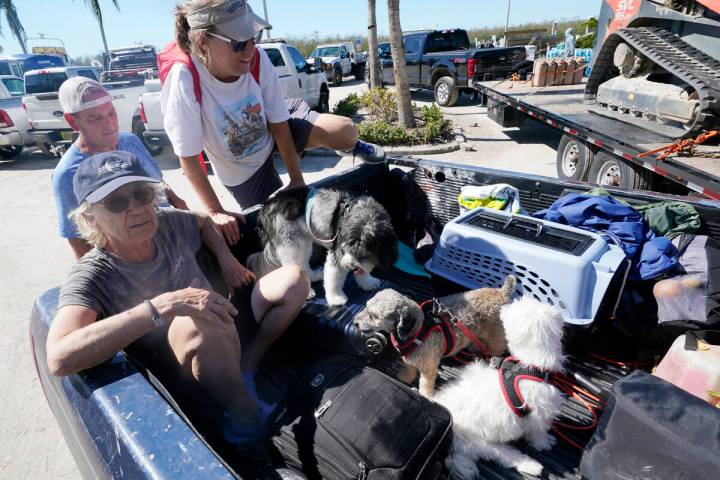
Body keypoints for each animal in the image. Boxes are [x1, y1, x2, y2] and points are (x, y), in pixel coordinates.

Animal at [250, 186, 400, 306]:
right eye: (348, 246)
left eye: (366, 250)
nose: (351, 267)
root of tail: (266, 206)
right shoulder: (338, 253)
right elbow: (334, 278)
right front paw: (336, 298)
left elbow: (364, 269)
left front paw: (368, 282)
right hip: (291, 245)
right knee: (292, 267)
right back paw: (307, 292)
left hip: (304, 243)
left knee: (303, 263)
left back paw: (313, 277)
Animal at [434, 298, 568, 478]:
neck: (530, 365)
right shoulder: (539, 415)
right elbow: (538, 433)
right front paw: (544, 442)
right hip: (481, 443)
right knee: (504, 455)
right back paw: (531, 465)